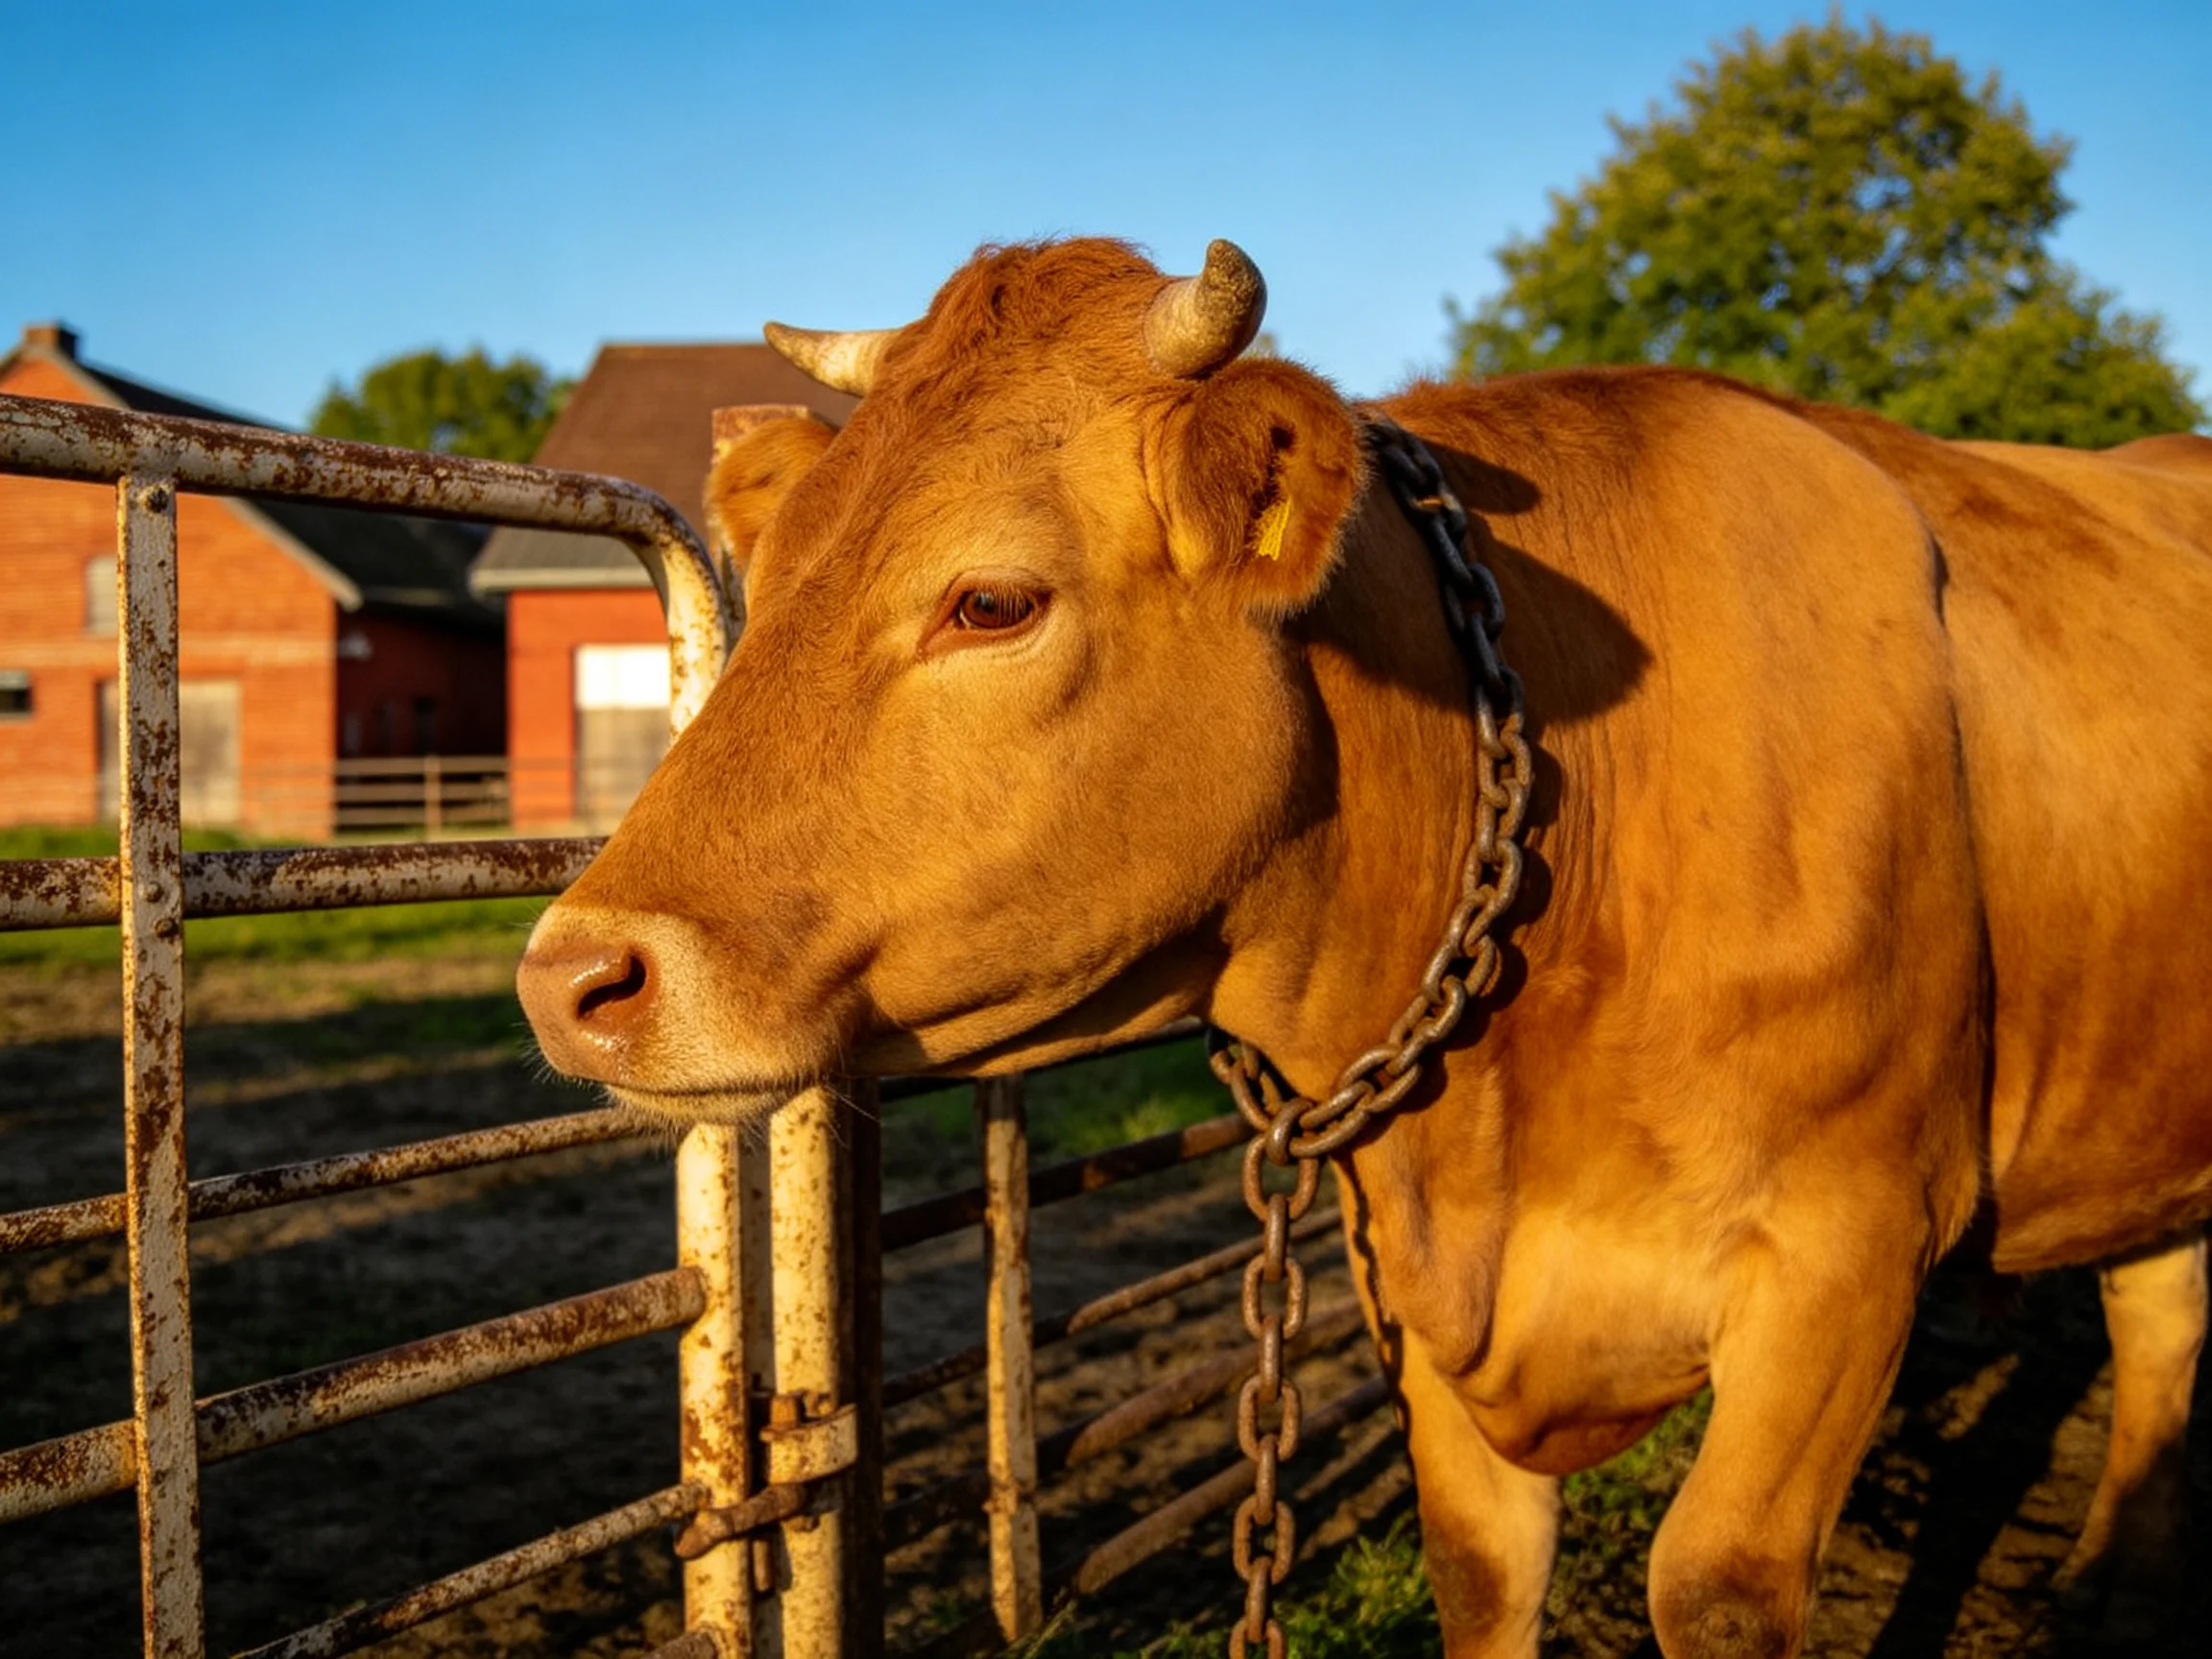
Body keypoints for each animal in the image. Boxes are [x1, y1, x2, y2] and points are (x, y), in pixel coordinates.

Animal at [515, 237, 2212, 1657]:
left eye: (990, 601)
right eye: (779, 577)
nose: (573, 979)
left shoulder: (1851, 1250)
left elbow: (1715, 1588)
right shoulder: (1413, 1270)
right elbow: (1481, 1567)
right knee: (2160, 1312)